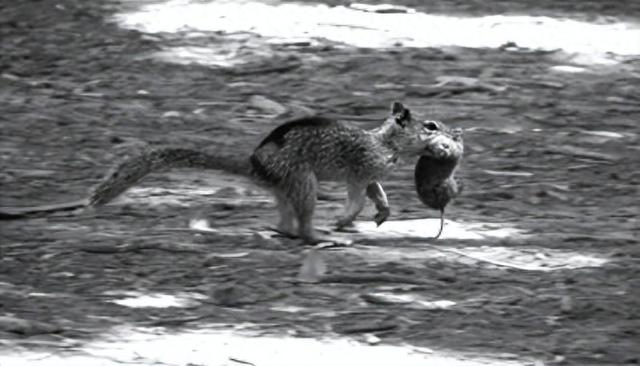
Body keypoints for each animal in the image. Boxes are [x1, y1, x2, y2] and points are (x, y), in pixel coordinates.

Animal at [0, 101, 448, 243]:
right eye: (431, 126)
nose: (451, 134)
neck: (386, 143)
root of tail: (257, 166)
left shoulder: (371, 173)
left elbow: (376, 191)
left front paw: (382, 211)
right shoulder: (358, 168)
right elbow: (358, 193)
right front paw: (347, 219)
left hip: (289, 187)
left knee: (283, 221)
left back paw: (290, 231)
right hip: (303, 181)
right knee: (300, 224)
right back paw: (321, 236)